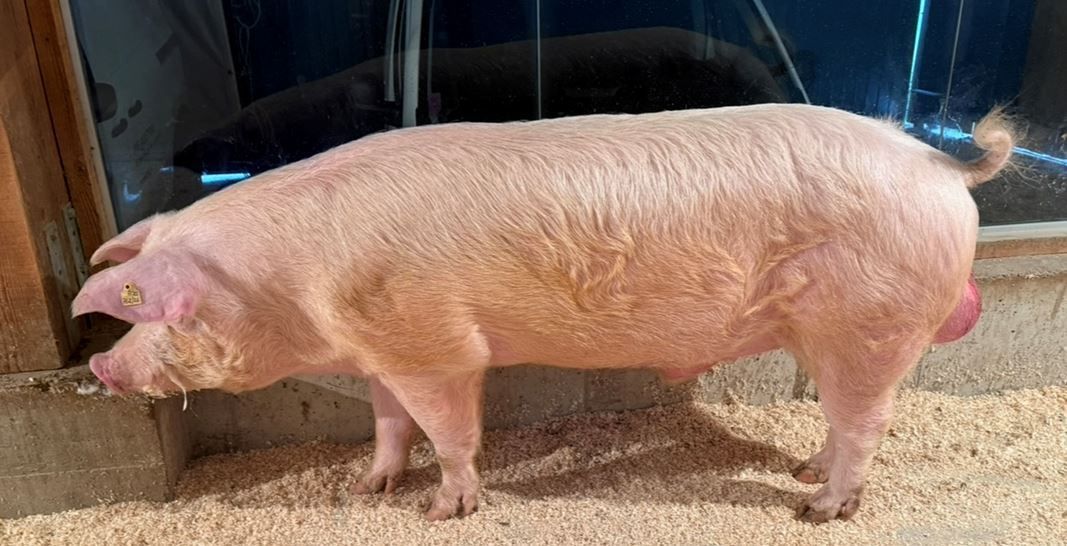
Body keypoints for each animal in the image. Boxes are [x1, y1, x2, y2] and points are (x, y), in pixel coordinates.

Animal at [71, 103, 1011, 523]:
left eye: (153, 311)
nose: (99, 363)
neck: (295, 281)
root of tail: (940, 165)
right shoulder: (382, 350)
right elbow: (388, 424)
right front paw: (366, 488)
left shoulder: (436, 345)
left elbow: (451, 429)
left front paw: (444, 512)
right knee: (843, 421)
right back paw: (805, 473)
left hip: (871, 321)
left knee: (867, 423)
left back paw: (819, 510)